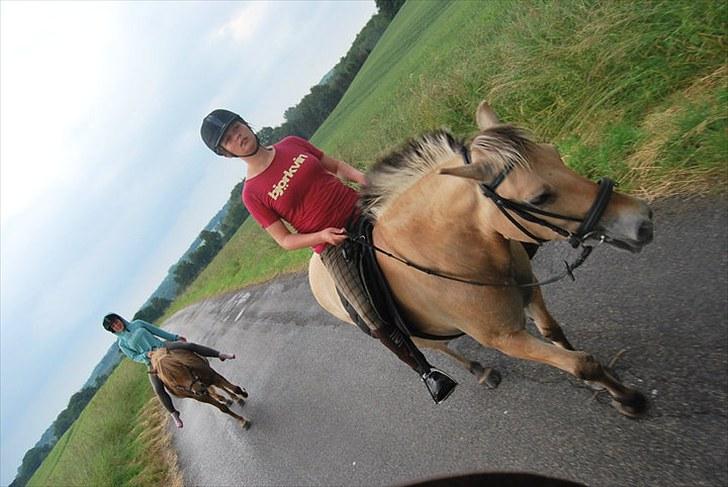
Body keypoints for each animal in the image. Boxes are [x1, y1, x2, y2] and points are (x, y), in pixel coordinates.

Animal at [308, 101, 656, 418]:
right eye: (539, 198)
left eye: (555, 153)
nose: (642, 221)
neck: (450, 253)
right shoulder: (506, 339)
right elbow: (582, 363)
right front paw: (627, 398)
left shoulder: (531, 291)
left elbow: (555, 333)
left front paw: (604, 385)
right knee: (435, 348)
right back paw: (478, 371)